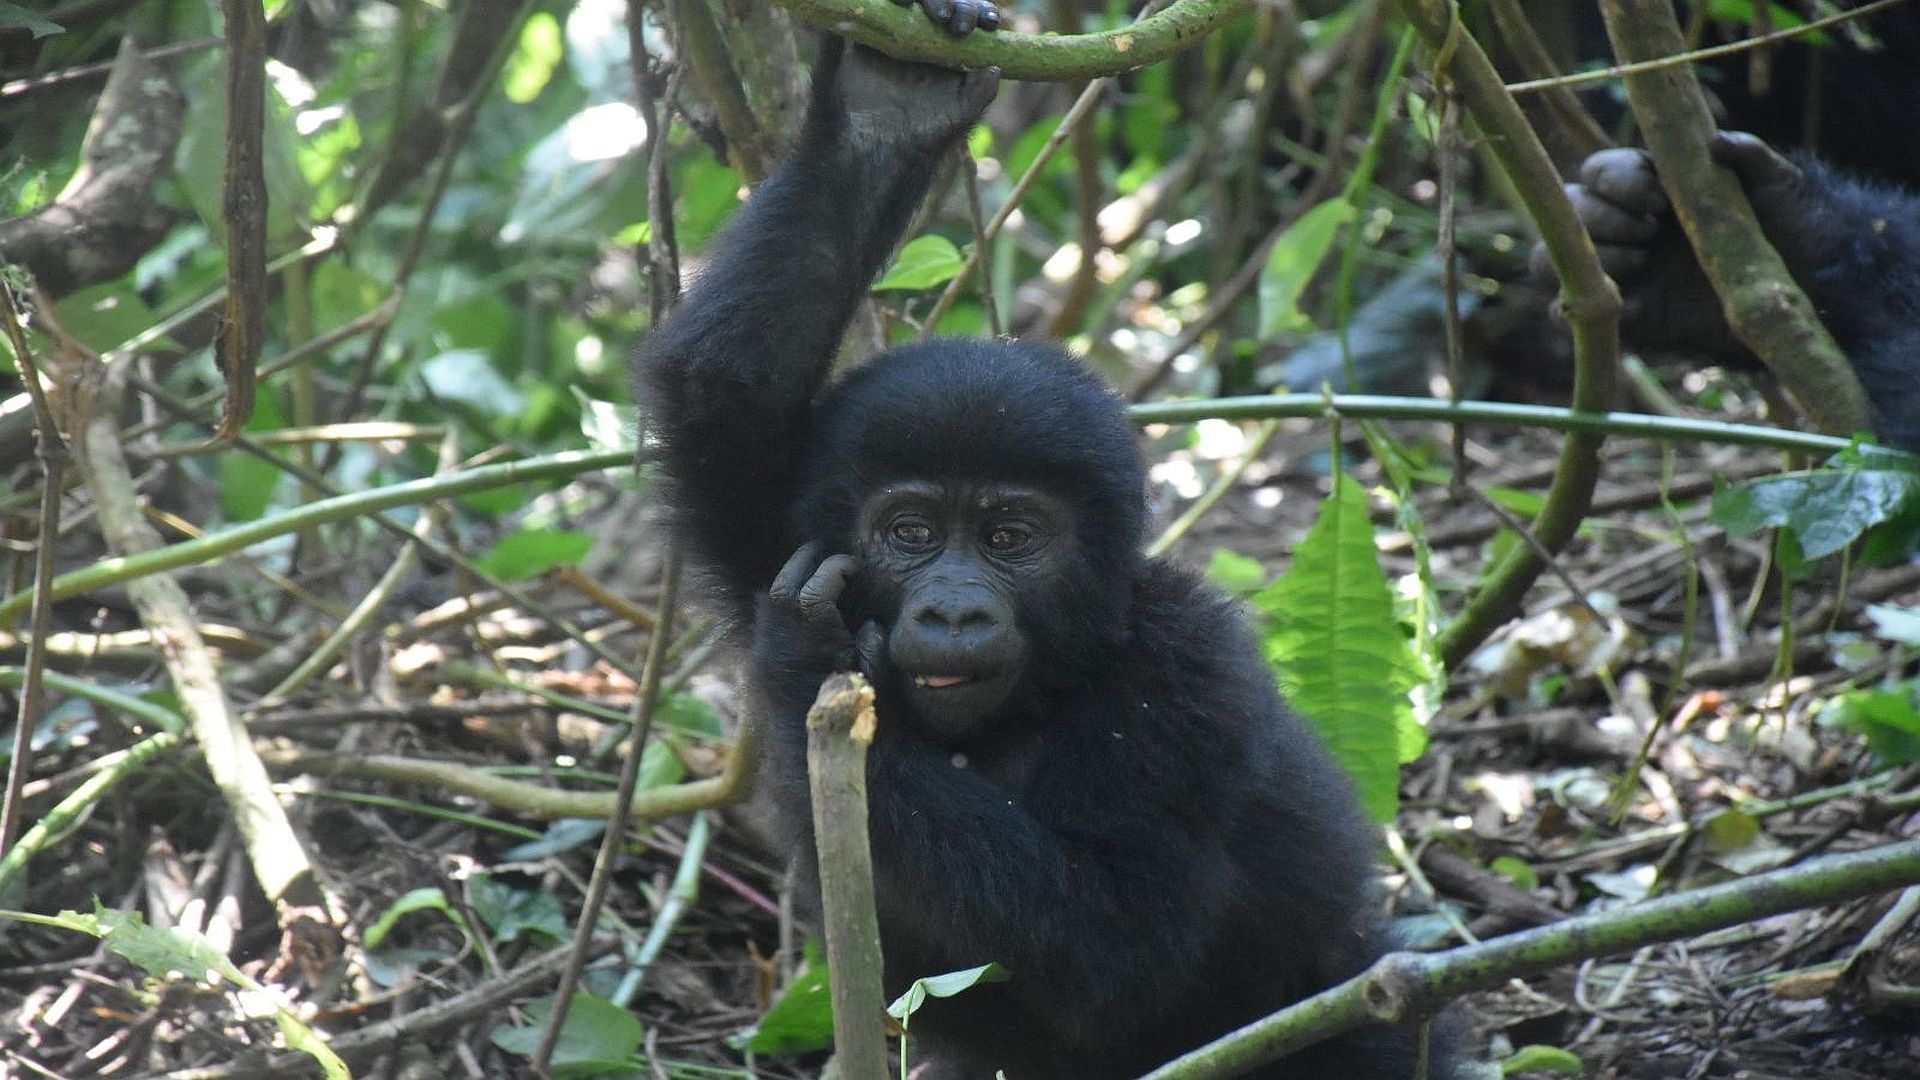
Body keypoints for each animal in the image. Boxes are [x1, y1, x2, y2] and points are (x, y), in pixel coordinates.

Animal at [641, 25, 1451, 1076]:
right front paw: (884, 113)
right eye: (911, 534)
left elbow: (1113, 938)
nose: (951, 608)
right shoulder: (777, 521)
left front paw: (809, 659)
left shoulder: (1189, 669)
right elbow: (722, 393)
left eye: (1009, 539)